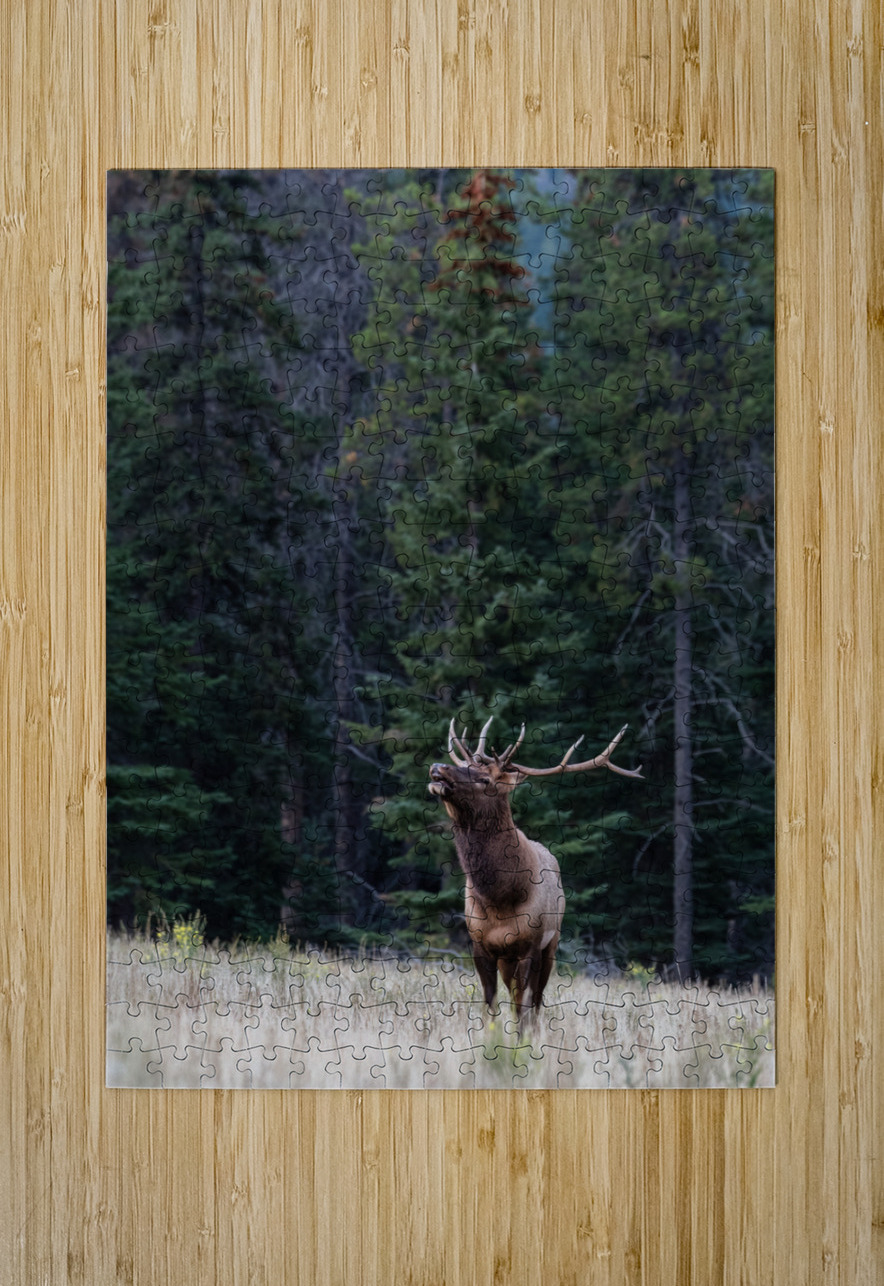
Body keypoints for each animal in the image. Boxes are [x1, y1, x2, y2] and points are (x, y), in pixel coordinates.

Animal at [428, 717, 642, 1027]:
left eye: (485, 779)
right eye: (465, 765)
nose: (437, 767)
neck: (500, 896)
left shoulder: (530, 945)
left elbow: (522, 1005)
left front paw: (521, 1035)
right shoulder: (480, 944)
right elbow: (490, 1003)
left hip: (550, 944)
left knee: (537, 998)